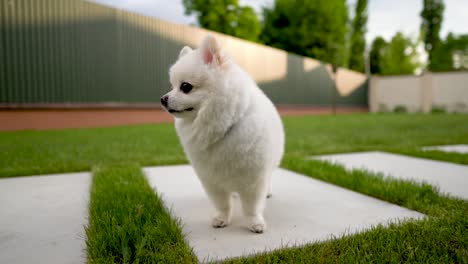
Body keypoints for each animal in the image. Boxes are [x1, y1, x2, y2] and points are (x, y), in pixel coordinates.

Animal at [161, 35, 286, 233]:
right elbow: (222, 204)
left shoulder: (254, 179)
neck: (222, 127)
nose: (163, 99)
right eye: (172, 86)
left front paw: (254, 222)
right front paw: (222, 218)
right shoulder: (211, 180)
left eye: (185, 87)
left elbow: (251, 206)